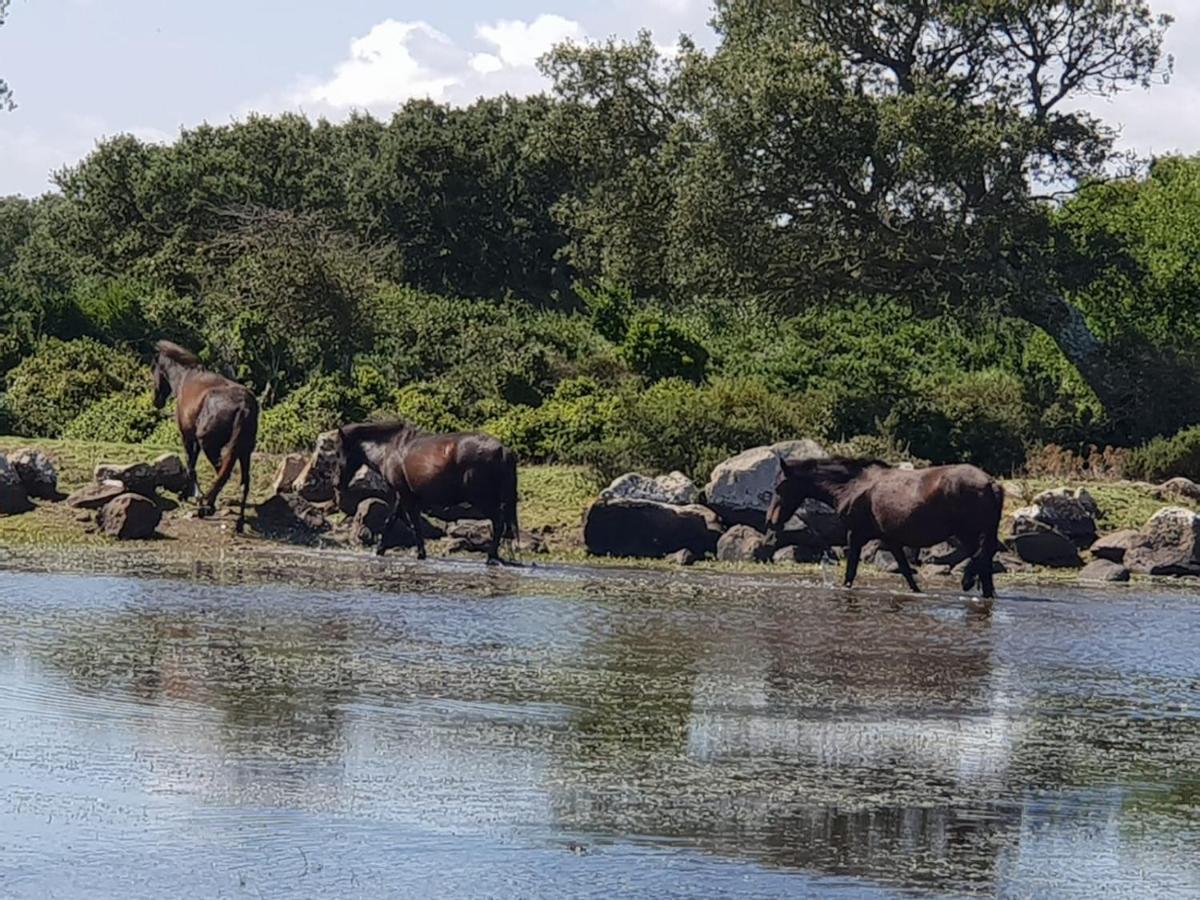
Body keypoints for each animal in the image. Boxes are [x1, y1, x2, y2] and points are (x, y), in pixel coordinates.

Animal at [151, 340, 259, 532]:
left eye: (153, 369)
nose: (156, 401)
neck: (184, 378)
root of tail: (244, 405)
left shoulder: (188, 437)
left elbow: (190, 466)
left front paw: (188, 495)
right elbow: (192, 465)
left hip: (211, 446)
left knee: (221, 474)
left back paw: (207, 506)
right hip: (244, 450)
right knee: (244, 482)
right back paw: (238, 521)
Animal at [340, 422, 523, 564]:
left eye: (340, 453)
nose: (338, 484)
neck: (390, 448)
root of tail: (504, 450)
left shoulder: (405, 496)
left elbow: (412, 523)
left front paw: (419, 553)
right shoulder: (403, 496)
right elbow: (394, 521)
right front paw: (381, 550)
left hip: (482, 499)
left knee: (498, 523)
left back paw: (491, 557)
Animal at [768, 458, 1003, 600]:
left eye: (779, 488)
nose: (770, 521)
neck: (851, 486)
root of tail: (990, 483)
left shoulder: (855, 535)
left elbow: (851, 571)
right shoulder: (891, 540)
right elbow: (907, 572)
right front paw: (917, 592)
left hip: (968, 533)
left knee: (981, 558)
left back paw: (967, 580)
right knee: (985, 564)